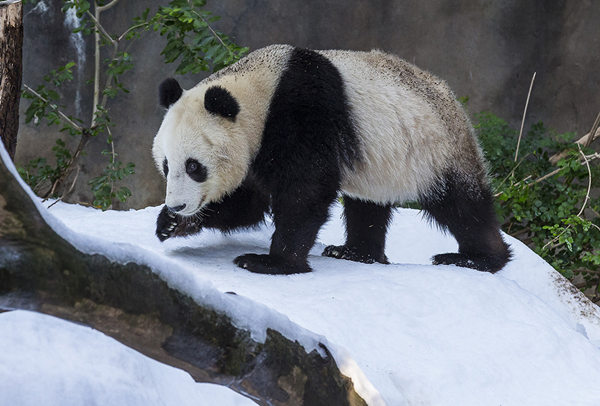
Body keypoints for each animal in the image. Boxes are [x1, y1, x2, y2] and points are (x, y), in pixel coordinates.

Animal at [151, 44, 510, 276]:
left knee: (461, 205)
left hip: (435, 149)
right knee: (368, 205)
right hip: (380, 161)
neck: (260, 91)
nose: (178, 205)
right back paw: (355, 252)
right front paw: (171, 223)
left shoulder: (303, 112)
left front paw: (271, 263)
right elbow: (249, 204)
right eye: (167, 165)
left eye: (194, 166)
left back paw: (477, 259)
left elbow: (305, 191)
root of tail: (453, 100)